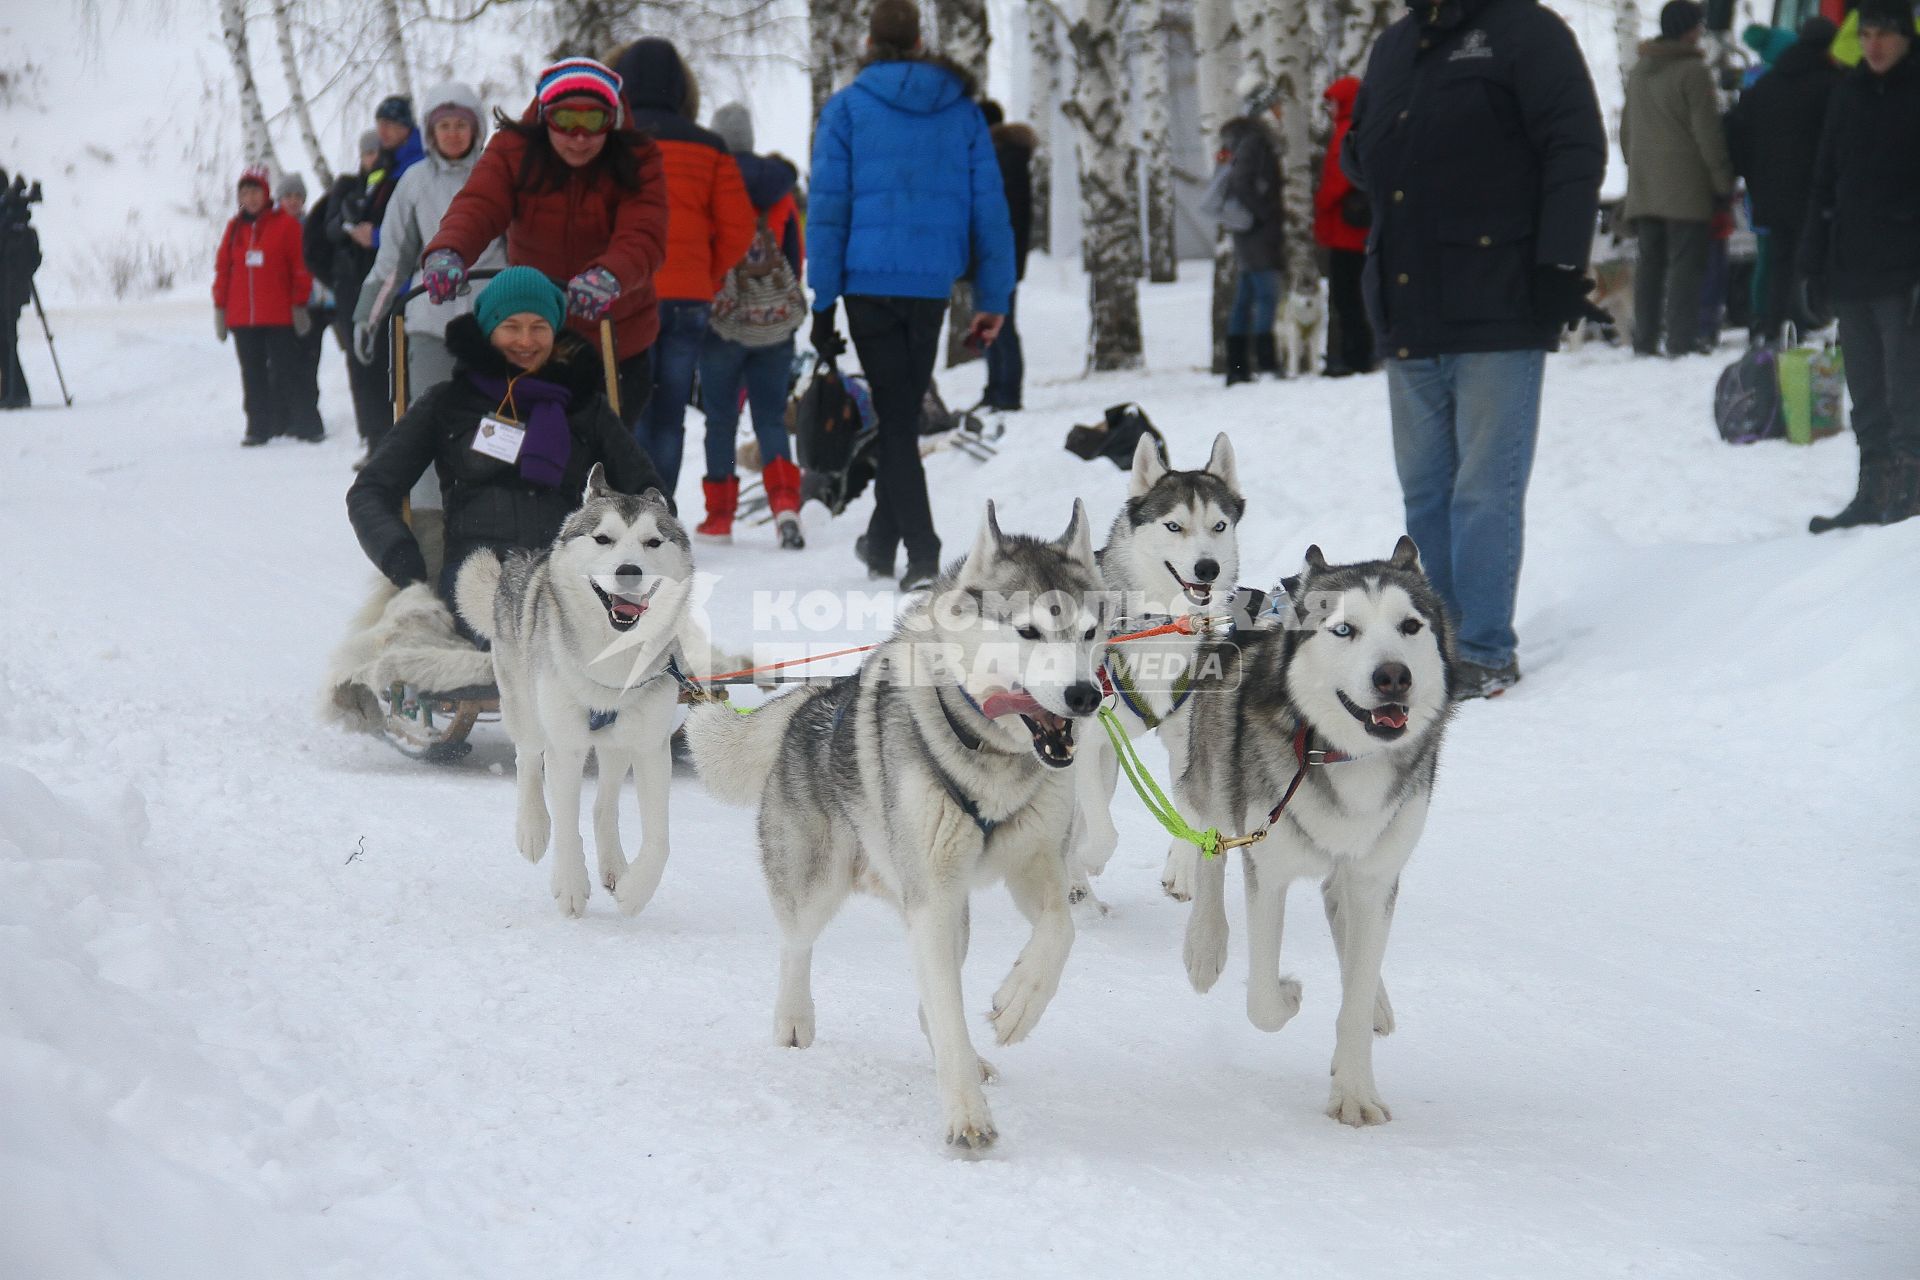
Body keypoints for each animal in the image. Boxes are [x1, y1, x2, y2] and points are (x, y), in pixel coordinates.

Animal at [456, 468, 698, 921]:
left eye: (653, 542)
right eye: (603, 538)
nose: (628, 570)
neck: (613, 660)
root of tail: (522, 561)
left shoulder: (651, 748)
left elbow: (660, 840)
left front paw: (635, 891)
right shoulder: (565, 745)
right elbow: (567, 825)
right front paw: (569, 885)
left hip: (617, 743)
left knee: (605, 803)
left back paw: (616, 866)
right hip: (526, 709)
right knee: (527, 760)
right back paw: (532, 828)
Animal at [691, 502, 1113, 1151]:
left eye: (1087, 632)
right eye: (1029, 632)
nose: (1084, 695)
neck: (987, 756)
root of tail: (810, 701)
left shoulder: (1035, 867)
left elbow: (1059, 931)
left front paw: (1018, 1004)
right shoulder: (931, 898)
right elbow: (947, 1006)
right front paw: (967, 1116)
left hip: (949, 910)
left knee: (931, 997)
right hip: (821, 884)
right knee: (796, 944)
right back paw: (794, 1019)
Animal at [1067, 435, 1244, 905]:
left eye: (1219, 526)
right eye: (1173, 526)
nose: (1207, 568)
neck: (1164, 623)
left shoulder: (1186, 741)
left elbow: (1190, 809)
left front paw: (1181, 868)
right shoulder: (1089, 742)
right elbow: (1103, 832)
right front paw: (1090, 860)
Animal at [1175, 537, 1443, 1128]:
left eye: (1410, 626)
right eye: (1344, 629)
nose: (1394, 676)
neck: (1343, 755)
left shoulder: (1375, 875)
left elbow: (1356, 992)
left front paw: (1355, 1092)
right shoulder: (1267, 866)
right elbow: (1261, 1001)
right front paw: (1290, 994)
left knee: (1337, 903)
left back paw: (1376, 997)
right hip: (1215, 772)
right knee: (1209, 843)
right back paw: (1205, 946)